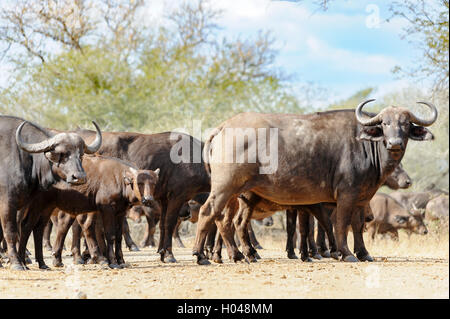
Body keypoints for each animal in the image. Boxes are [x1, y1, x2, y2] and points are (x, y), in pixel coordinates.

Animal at [0, 116, 101, 272]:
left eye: (81, 154)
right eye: (62, 154)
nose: (79, 177)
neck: (23, 157)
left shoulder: (28, 204)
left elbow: (26, 229)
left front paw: (23, 261)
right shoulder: (7, 202)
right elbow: (10, 231)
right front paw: (16, 263)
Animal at [18, 155, 159, 270]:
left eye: (154, 183)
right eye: (139, 183)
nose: (148, 199)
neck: (119, 179)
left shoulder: (120, 212)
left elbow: (119, 236)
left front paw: (121, 261)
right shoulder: (107, 210)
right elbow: (110, 235)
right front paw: (113, 262)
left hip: (48, 207)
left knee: (42, 228)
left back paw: (49, 261)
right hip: (35, 205)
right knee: (26, 226)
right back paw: (24, 261)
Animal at [192, 100, 436, 264]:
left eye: (405, 124)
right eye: (385, 124)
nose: (394, 143)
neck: (367, 146)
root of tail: (223, 127)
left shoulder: (361, 199)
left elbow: (357, 226)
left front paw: (364, 253)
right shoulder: (344, 196)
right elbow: (340, 225)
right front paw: (345, 254)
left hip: (237, 195)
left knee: (229, 221)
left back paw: (241, 255)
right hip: (225, 188)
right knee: (208, 213)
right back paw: (202, 255)